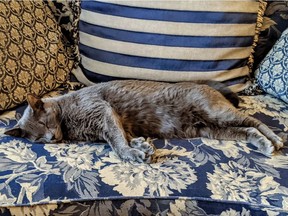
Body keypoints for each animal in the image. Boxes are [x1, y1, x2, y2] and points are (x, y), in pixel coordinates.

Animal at [4, 80, 284, 162]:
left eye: (44, 124)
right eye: (37, 139)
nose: (50, 138)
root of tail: (209, 86)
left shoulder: (103, 112)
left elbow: (117, 143)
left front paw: (131, 153)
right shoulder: (109, 124)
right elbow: (123, 137)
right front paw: (141, 147)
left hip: (216, 113)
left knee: (254, 121)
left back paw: (275, 140)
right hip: (211, 129)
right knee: (247, 130)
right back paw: (263, 144)